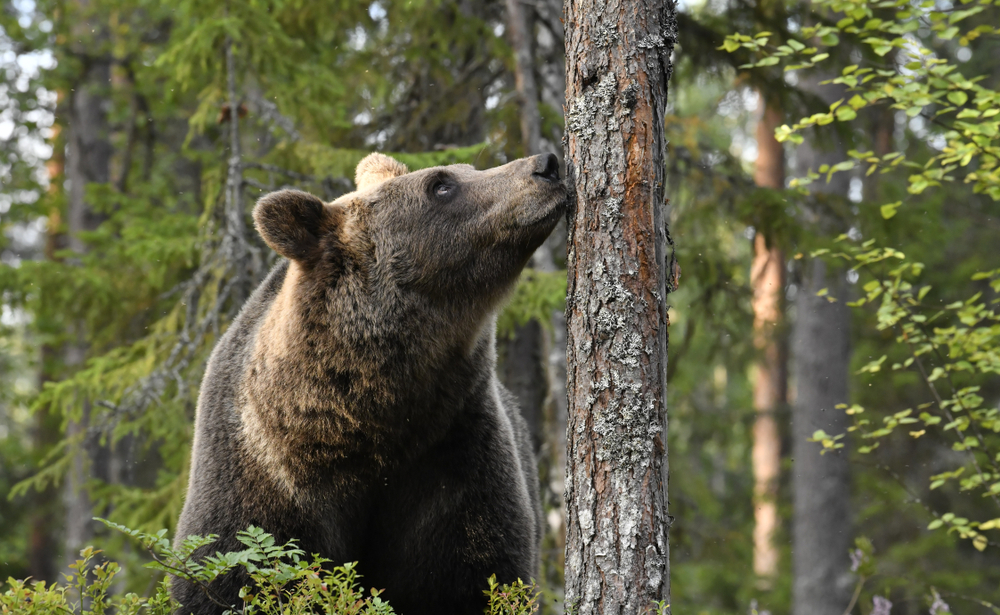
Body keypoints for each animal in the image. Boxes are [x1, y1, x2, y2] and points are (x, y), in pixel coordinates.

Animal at [171, 154, 564, 615]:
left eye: (467, 168)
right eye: (441, 185)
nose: (547, 165)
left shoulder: (452, 464)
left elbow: (475, 575)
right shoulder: (259, 482)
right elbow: (228, 577)